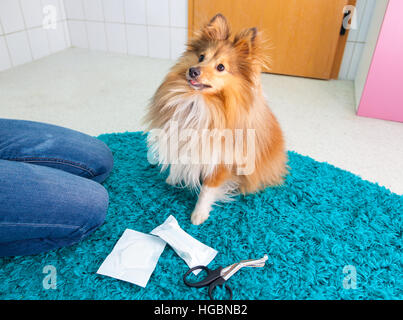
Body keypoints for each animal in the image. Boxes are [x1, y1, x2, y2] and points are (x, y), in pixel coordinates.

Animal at [144, 13, 288, 225]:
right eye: (201, 57)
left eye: (221, 67)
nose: (193, 70)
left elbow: (207, 190)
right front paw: (173, 177)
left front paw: (198, 215)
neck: (200, 103)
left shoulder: (222, 159)